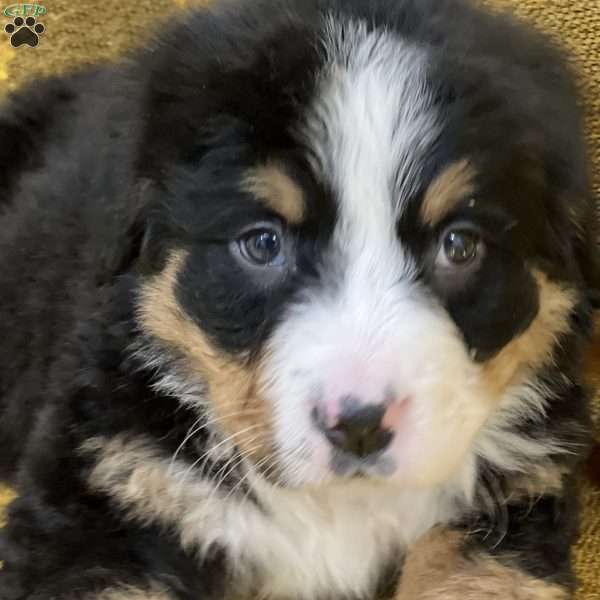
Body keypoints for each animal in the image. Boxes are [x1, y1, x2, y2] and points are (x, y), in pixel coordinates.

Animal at [1, 0, 600, 596]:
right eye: (263, 243)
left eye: (460, 244)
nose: (359, 426)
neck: (336, 505)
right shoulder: (111, 485)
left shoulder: (512, 506)